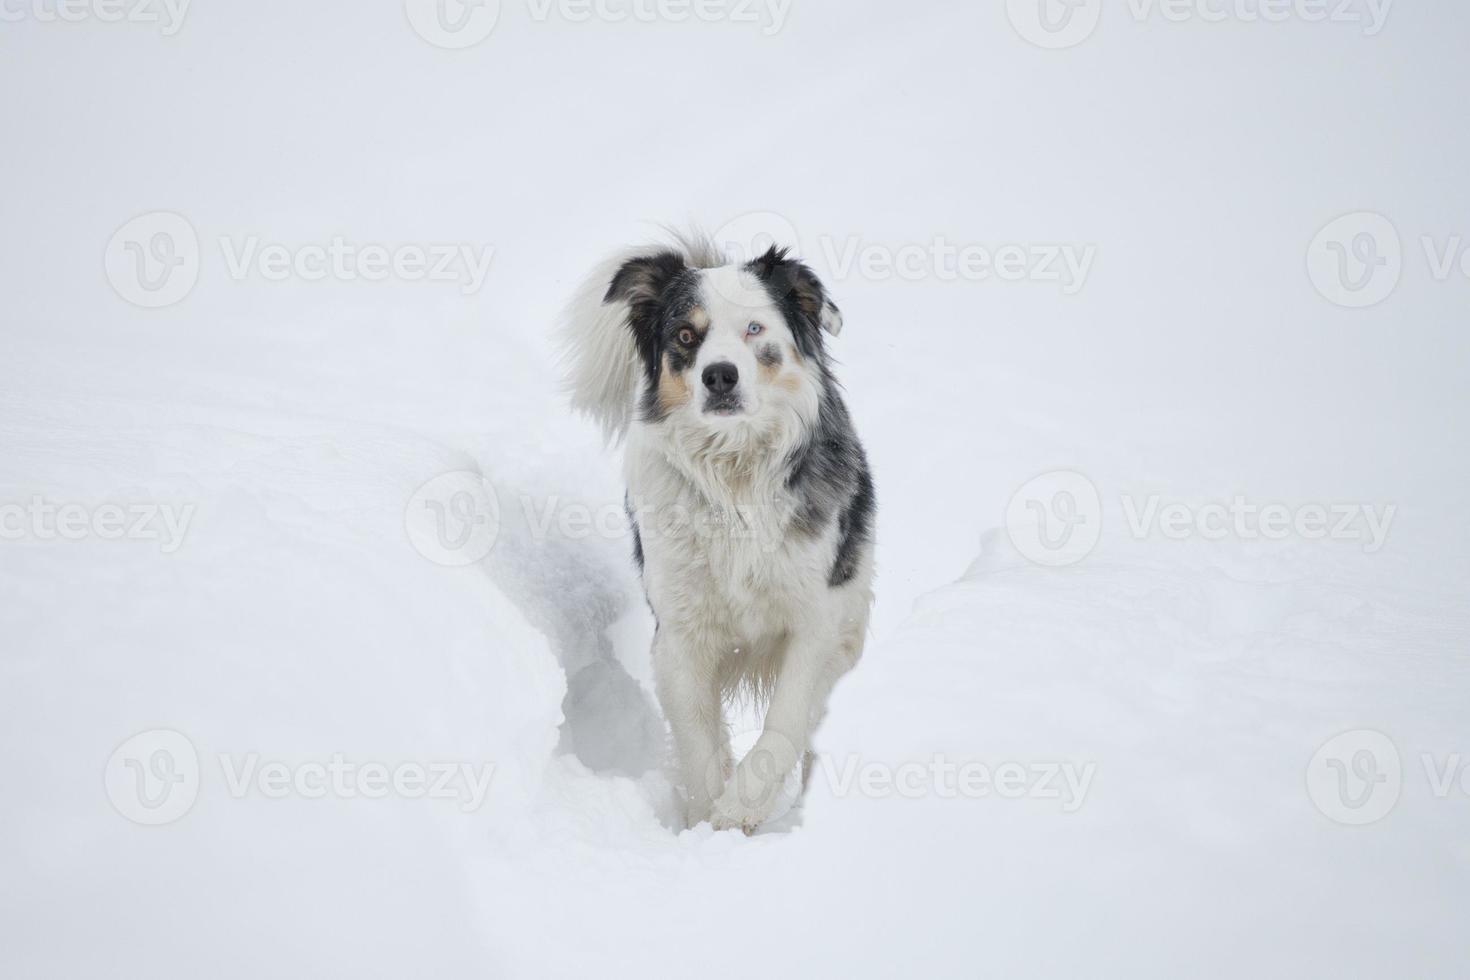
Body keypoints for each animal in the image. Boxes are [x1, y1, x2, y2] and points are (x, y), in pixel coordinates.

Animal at [555, 232, 864, 834]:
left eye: (754, 329)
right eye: (684, 335)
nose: (719, 375)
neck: (734, 474)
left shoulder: (813, 620)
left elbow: (784, 721)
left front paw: (742, 806)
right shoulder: (680, 634)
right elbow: (698, 743)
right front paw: (705, 822)